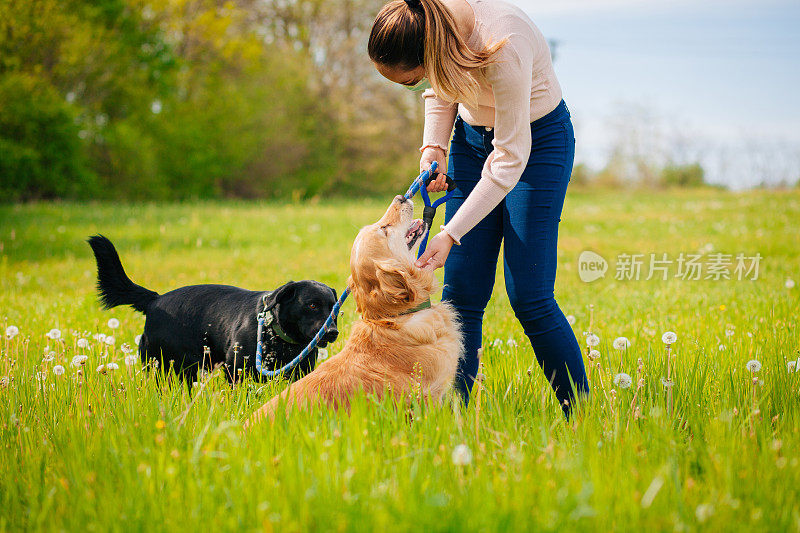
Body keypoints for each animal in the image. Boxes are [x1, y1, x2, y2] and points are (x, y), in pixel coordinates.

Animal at [87, 236, 338, 382]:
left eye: (334, 310)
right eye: (312, 305)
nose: (333, 332)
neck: (277, 336)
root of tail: (155, 300)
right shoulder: (235, 370)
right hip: (166, 368)